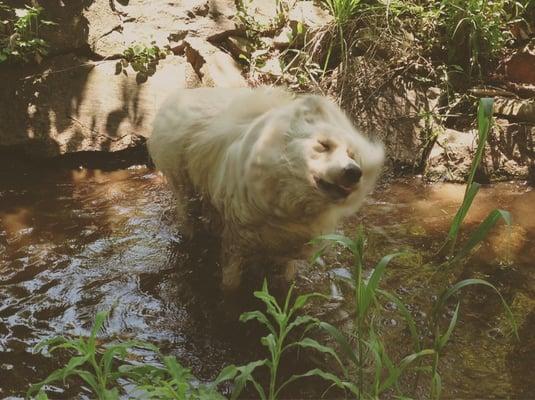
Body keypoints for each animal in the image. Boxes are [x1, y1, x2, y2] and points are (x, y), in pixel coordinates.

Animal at [149, 86, 388, 290]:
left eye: (352, 154)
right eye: (323, 145)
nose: (354, 172)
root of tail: (185, 93)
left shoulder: (287, 247)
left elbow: (286, 280)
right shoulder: (238, 240)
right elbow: (230, 282)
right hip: (184, 187)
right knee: (188, 217)